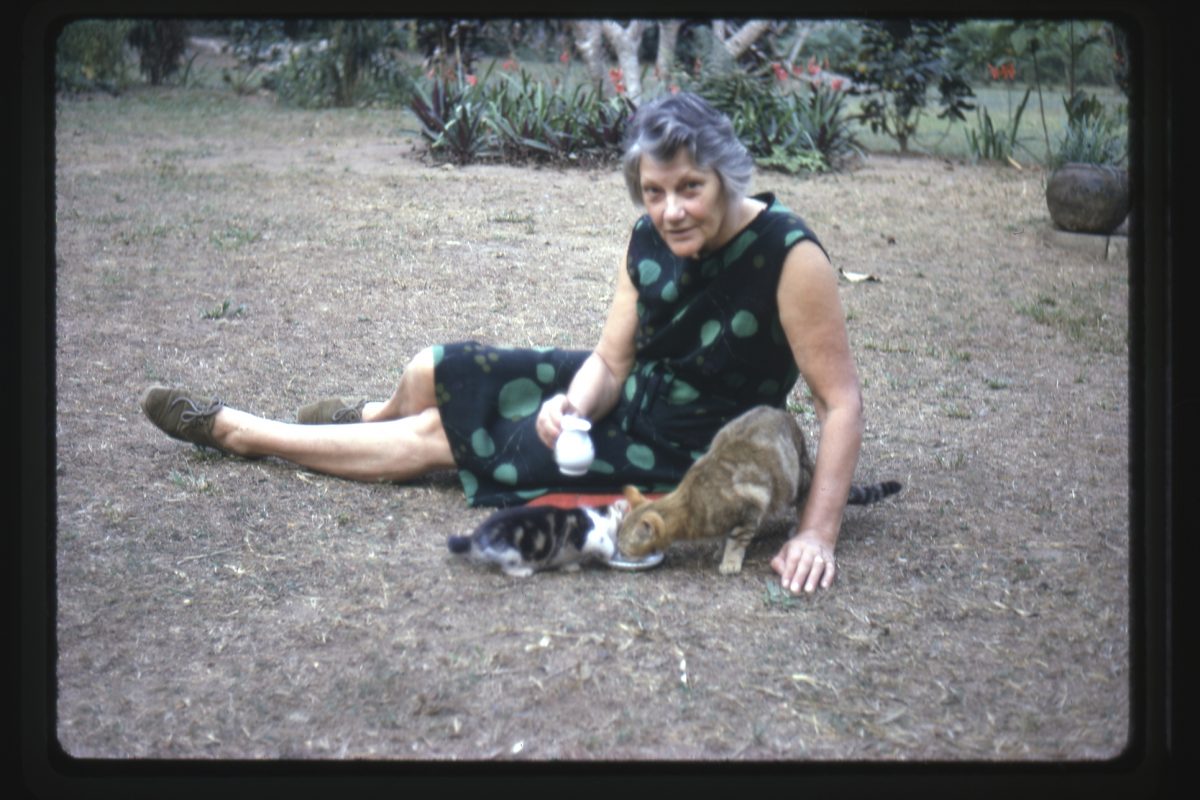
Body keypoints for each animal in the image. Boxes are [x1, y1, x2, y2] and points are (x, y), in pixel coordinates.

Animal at [446, 501, 624, 575]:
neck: (597, 516)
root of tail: (475, 537)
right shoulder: (587, 535)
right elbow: (604, 541)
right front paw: (610, 552)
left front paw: (569, 566)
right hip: (511, 552)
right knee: (506, 567)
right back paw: (522, 571)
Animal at [619, 407, 902, 575]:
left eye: (624, 543)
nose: (618, 548)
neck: (692, 502)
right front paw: (719, 548)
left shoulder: (751, 507)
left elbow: (737, 539)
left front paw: (730, 560)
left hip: (797, 481)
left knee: (805, 501)